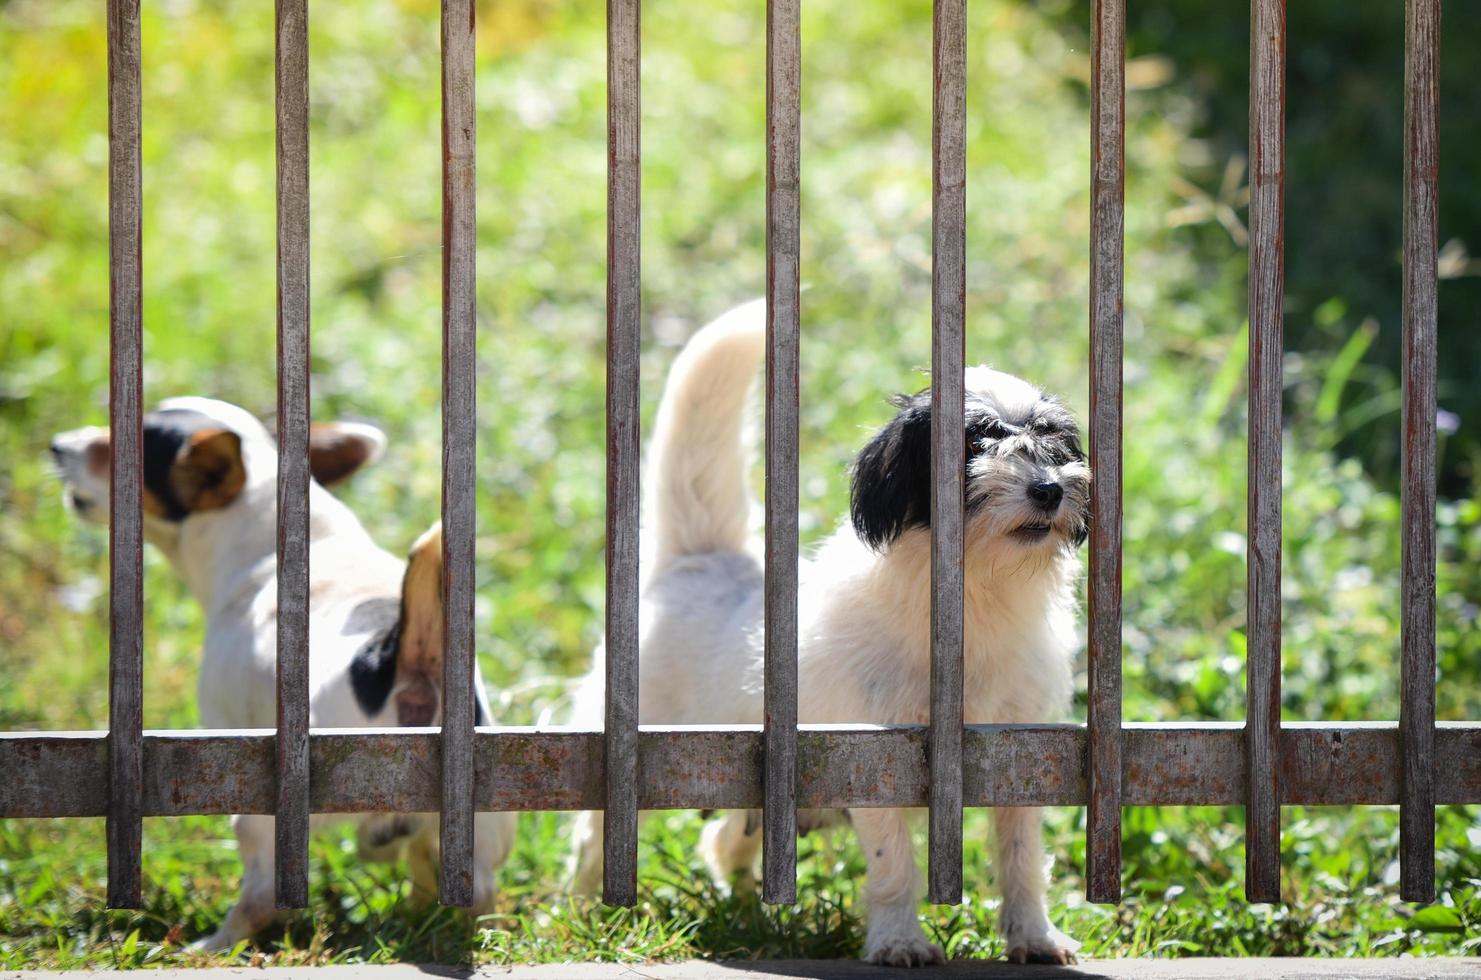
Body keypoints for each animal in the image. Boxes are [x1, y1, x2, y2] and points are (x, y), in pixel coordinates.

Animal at [50, 399, 515, 953]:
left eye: (112, 447)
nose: (57, 445)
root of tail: (394, 659)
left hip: (264, 817)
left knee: (260, 898)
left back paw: (212, 946)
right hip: (478, 824)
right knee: (469, 888)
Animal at [565, 304, 1090, 965]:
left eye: (1053, 440)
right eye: (976, 441)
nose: (1049, 488)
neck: (977, 595)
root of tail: (698, 559)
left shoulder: (1021, 753)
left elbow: (1021, 859)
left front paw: (1034, 936)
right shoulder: (872, 759)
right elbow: (895, 867)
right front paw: (899, 939)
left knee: (724, 841)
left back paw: (748, 912)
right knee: (593, 838)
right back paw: (589, 910)